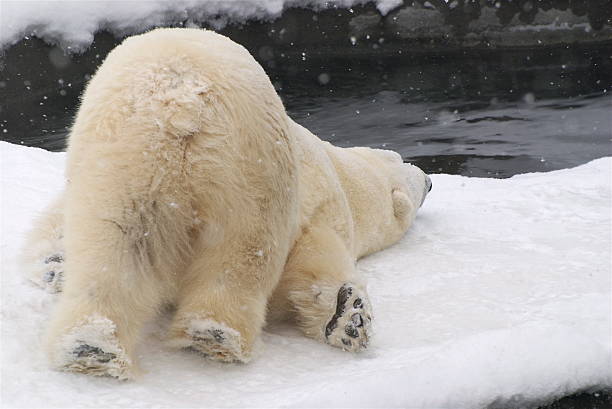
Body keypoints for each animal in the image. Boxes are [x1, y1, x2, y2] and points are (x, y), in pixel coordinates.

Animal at [21, 27, 432, 380]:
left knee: (114, 242)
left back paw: (91, 347)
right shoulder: (323, 201)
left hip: (118, 155)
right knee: (244, 248)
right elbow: (313, 260)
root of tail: (181, 100)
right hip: (251, 162)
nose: (428, 180)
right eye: (403, 165)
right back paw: (217, 334)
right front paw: (351, 318)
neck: (342, 174)